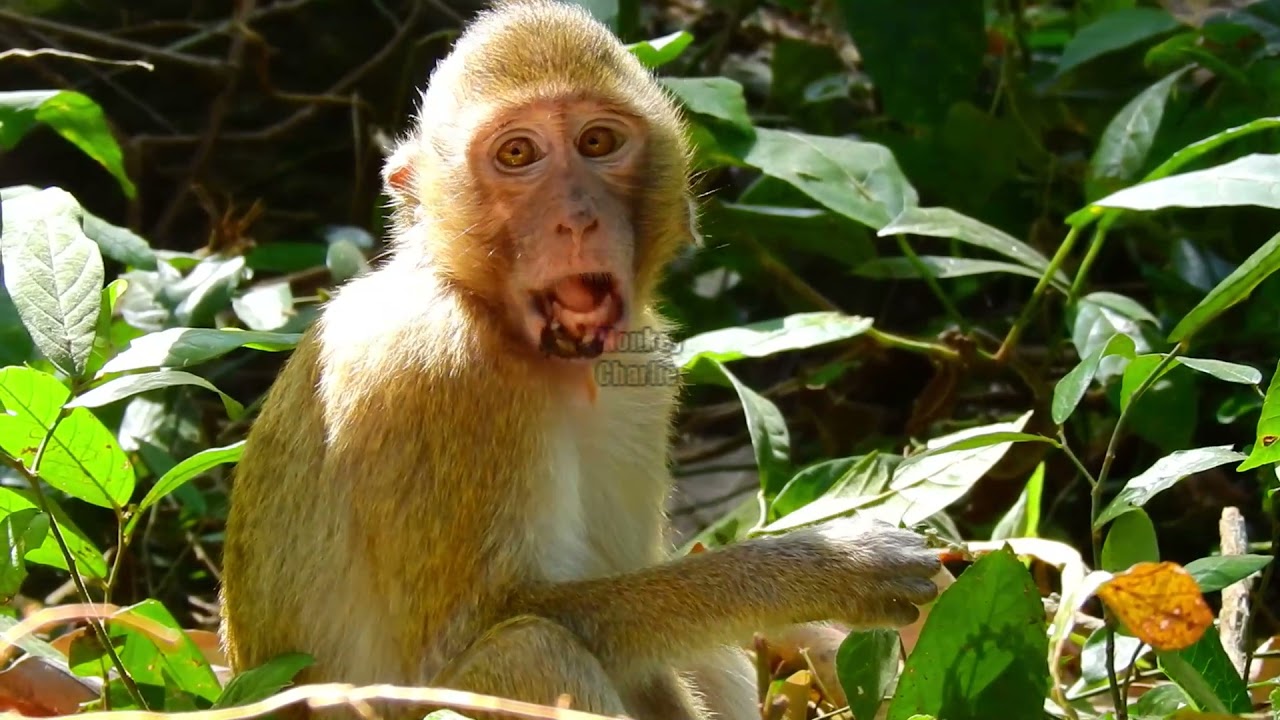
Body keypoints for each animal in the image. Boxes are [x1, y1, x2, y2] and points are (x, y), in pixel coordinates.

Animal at [216, 1, 942, 719]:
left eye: (597, 143)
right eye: (517, 154)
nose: (577, 217)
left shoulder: (643, 373)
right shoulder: (437, 372)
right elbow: (456, 643)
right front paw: (821, 570)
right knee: (530, 648)